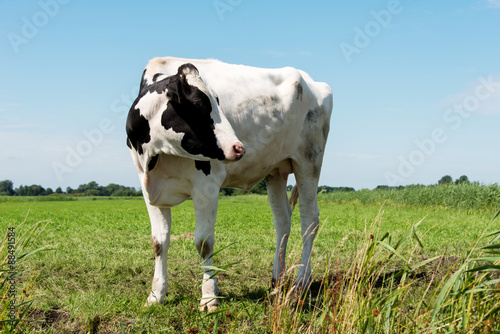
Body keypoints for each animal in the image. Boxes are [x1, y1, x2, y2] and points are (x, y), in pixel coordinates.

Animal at [127, 56, 334, 310]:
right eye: (199, 104)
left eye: (218, 101)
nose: (238, 147)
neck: (155, 155)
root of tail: (313, 81)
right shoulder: (151, 191)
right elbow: (159, 242)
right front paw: (156, 295)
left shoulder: (206, 186)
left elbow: (203, 242)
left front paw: (209, 297)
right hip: (275, 170)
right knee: (282, 221)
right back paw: (277, 279)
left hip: (309, 162)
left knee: (309, 221)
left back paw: (300, 283)